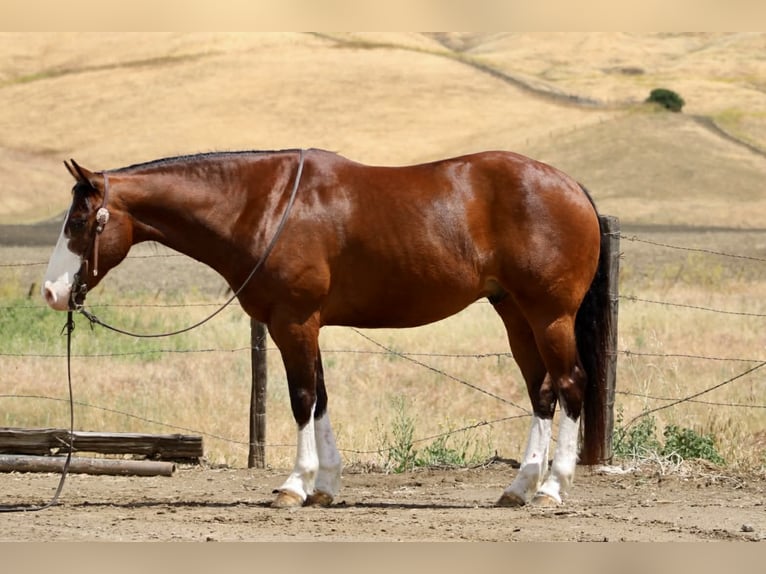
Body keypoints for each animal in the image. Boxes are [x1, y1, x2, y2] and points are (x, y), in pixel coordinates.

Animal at [42, 148, 611, 508]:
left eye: (79, 222)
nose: (51, 292)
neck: (265, 207)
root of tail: (572, 187)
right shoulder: (303, 324)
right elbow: (320, 399)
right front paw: (326, 486)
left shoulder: (293, 322)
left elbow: (301, 398)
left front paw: (294, 485)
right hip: (515, 313)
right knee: (541, 392)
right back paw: (519, 488)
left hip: (549, 315)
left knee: (570, 386)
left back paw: (552, 489)